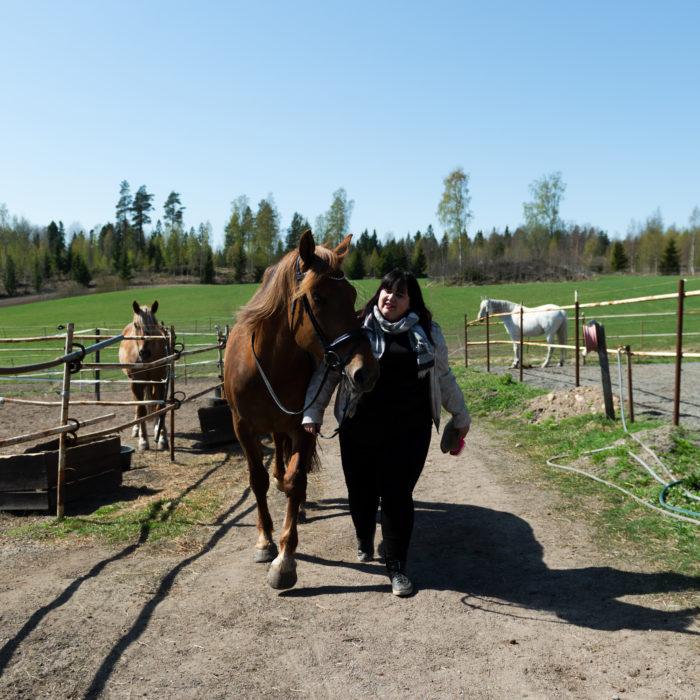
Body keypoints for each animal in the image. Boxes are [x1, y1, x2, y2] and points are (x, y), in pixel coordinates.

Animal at [119, 300, 170, 452]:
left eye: (154, 324)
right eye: (137, 325)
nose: (145, 352)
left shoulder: (160, 381)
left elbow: (159, 407)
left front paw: (162, 437)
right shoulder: (137, 382)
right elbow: (141, 409)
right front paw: (143, 440)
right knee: (137, 404)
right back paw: (136, 429)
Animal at [223, 231, 378, 592]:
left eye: (351, 295)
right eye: (318, 298)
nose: (365, 371)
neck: (269, 361)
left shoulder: (303, 426)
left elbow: (296, 479)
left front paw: (285, 559)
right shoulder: (242, 427)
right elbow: (258, 479)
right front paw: (265, 540)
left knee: (294, 467)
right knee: (278, 459)